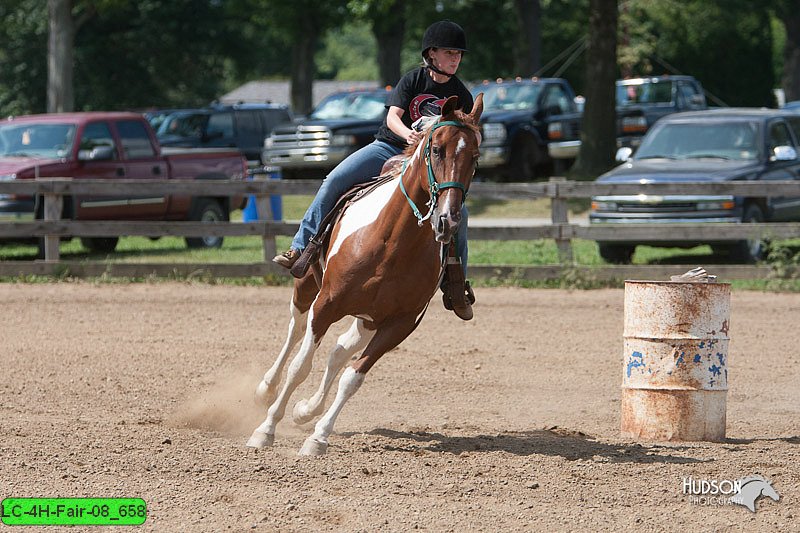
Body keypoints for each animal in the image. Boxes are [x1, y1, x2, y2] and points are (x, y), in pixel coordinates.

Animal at [245, 93, 482, 456]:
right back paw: (267, 389)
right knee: (295, 331)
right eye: (437, 149)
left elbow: (352, 377)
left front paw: (318, 437)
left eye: (475, 157)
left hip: (368, 316)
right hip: (307, 287)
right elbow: (301, 366)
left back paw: (306, 411)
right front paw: (265, 430)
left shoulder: (399, 325)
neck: (392, 242)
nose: (448, 219)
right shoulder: (326, 304)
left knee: (339, 351)